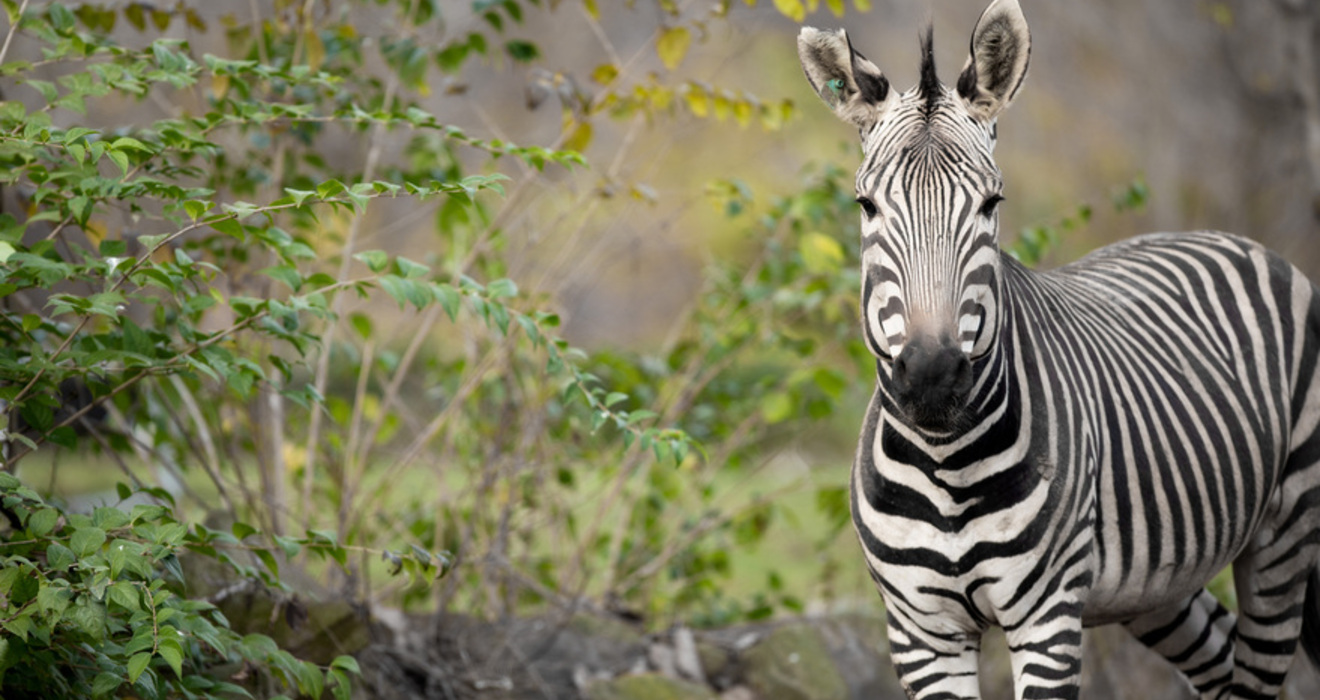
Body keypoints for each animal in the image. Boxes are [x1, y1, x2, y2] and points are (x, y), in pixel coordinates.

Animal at [796, 1, 1320, 698]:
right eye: (865, 205)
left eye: (992, 203)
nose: (931, 375)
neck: (945, 463)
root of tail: (1232, 238)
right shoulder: (921, 634)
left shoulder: (1047, 619)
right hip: (1156, 583)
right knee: (1218, 658)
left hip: (1285, 533)